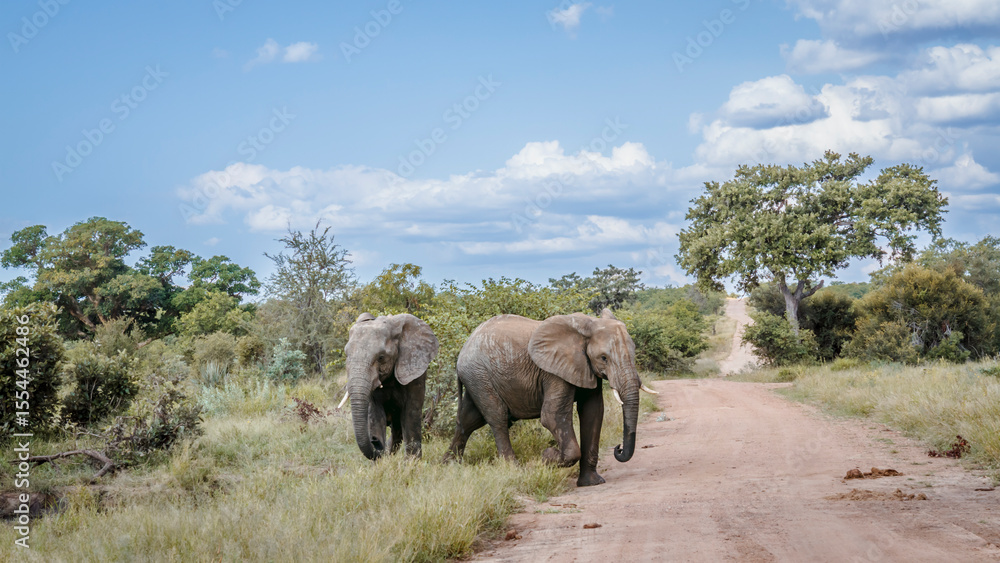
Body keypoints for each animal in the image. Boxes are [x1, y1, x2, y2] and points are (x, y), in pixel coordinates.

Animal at [343, 312, 438, 460]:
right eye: (347, 355)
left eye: (381, 357)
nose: (375, 441)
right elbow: (376, 414)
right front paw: (381, 462)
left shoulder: (414, 369)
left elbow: (411, 412)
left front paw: (412, 462)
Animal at [445, 309, 656, 486]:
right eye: (604, 358)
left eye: (634, 353)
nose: (618, 448)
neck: (588, 325)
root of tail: (464, 347)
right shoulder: (553, 372)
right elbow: (552, 416)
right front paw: (546, 457)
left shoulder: (585, 367)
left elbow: (593, 413)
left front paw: (591, 483)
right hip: (479, 376)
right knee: (498, 418)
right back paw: (514, 469)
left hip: (475, 378)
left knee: (468, 420)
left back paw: (448, 465)